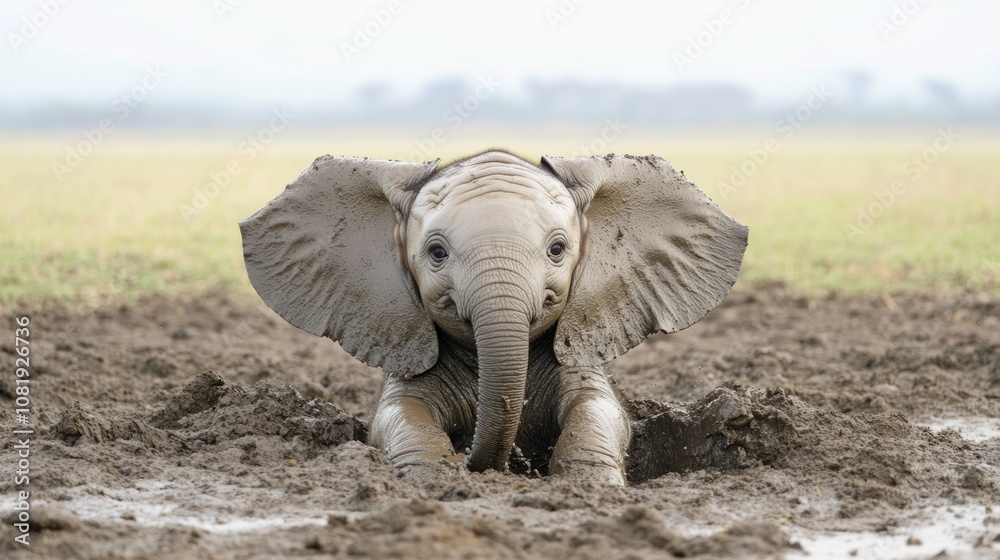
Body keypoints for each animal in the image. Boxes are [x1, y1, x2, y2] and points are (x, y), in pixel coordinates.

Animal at [240, 150, 748, 486]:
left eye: (558, 249)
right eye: (437, 253)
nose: (487, 464)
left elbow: (600, 411)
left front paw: (589, 487)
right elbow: (397, 417)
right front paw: (434, 479)